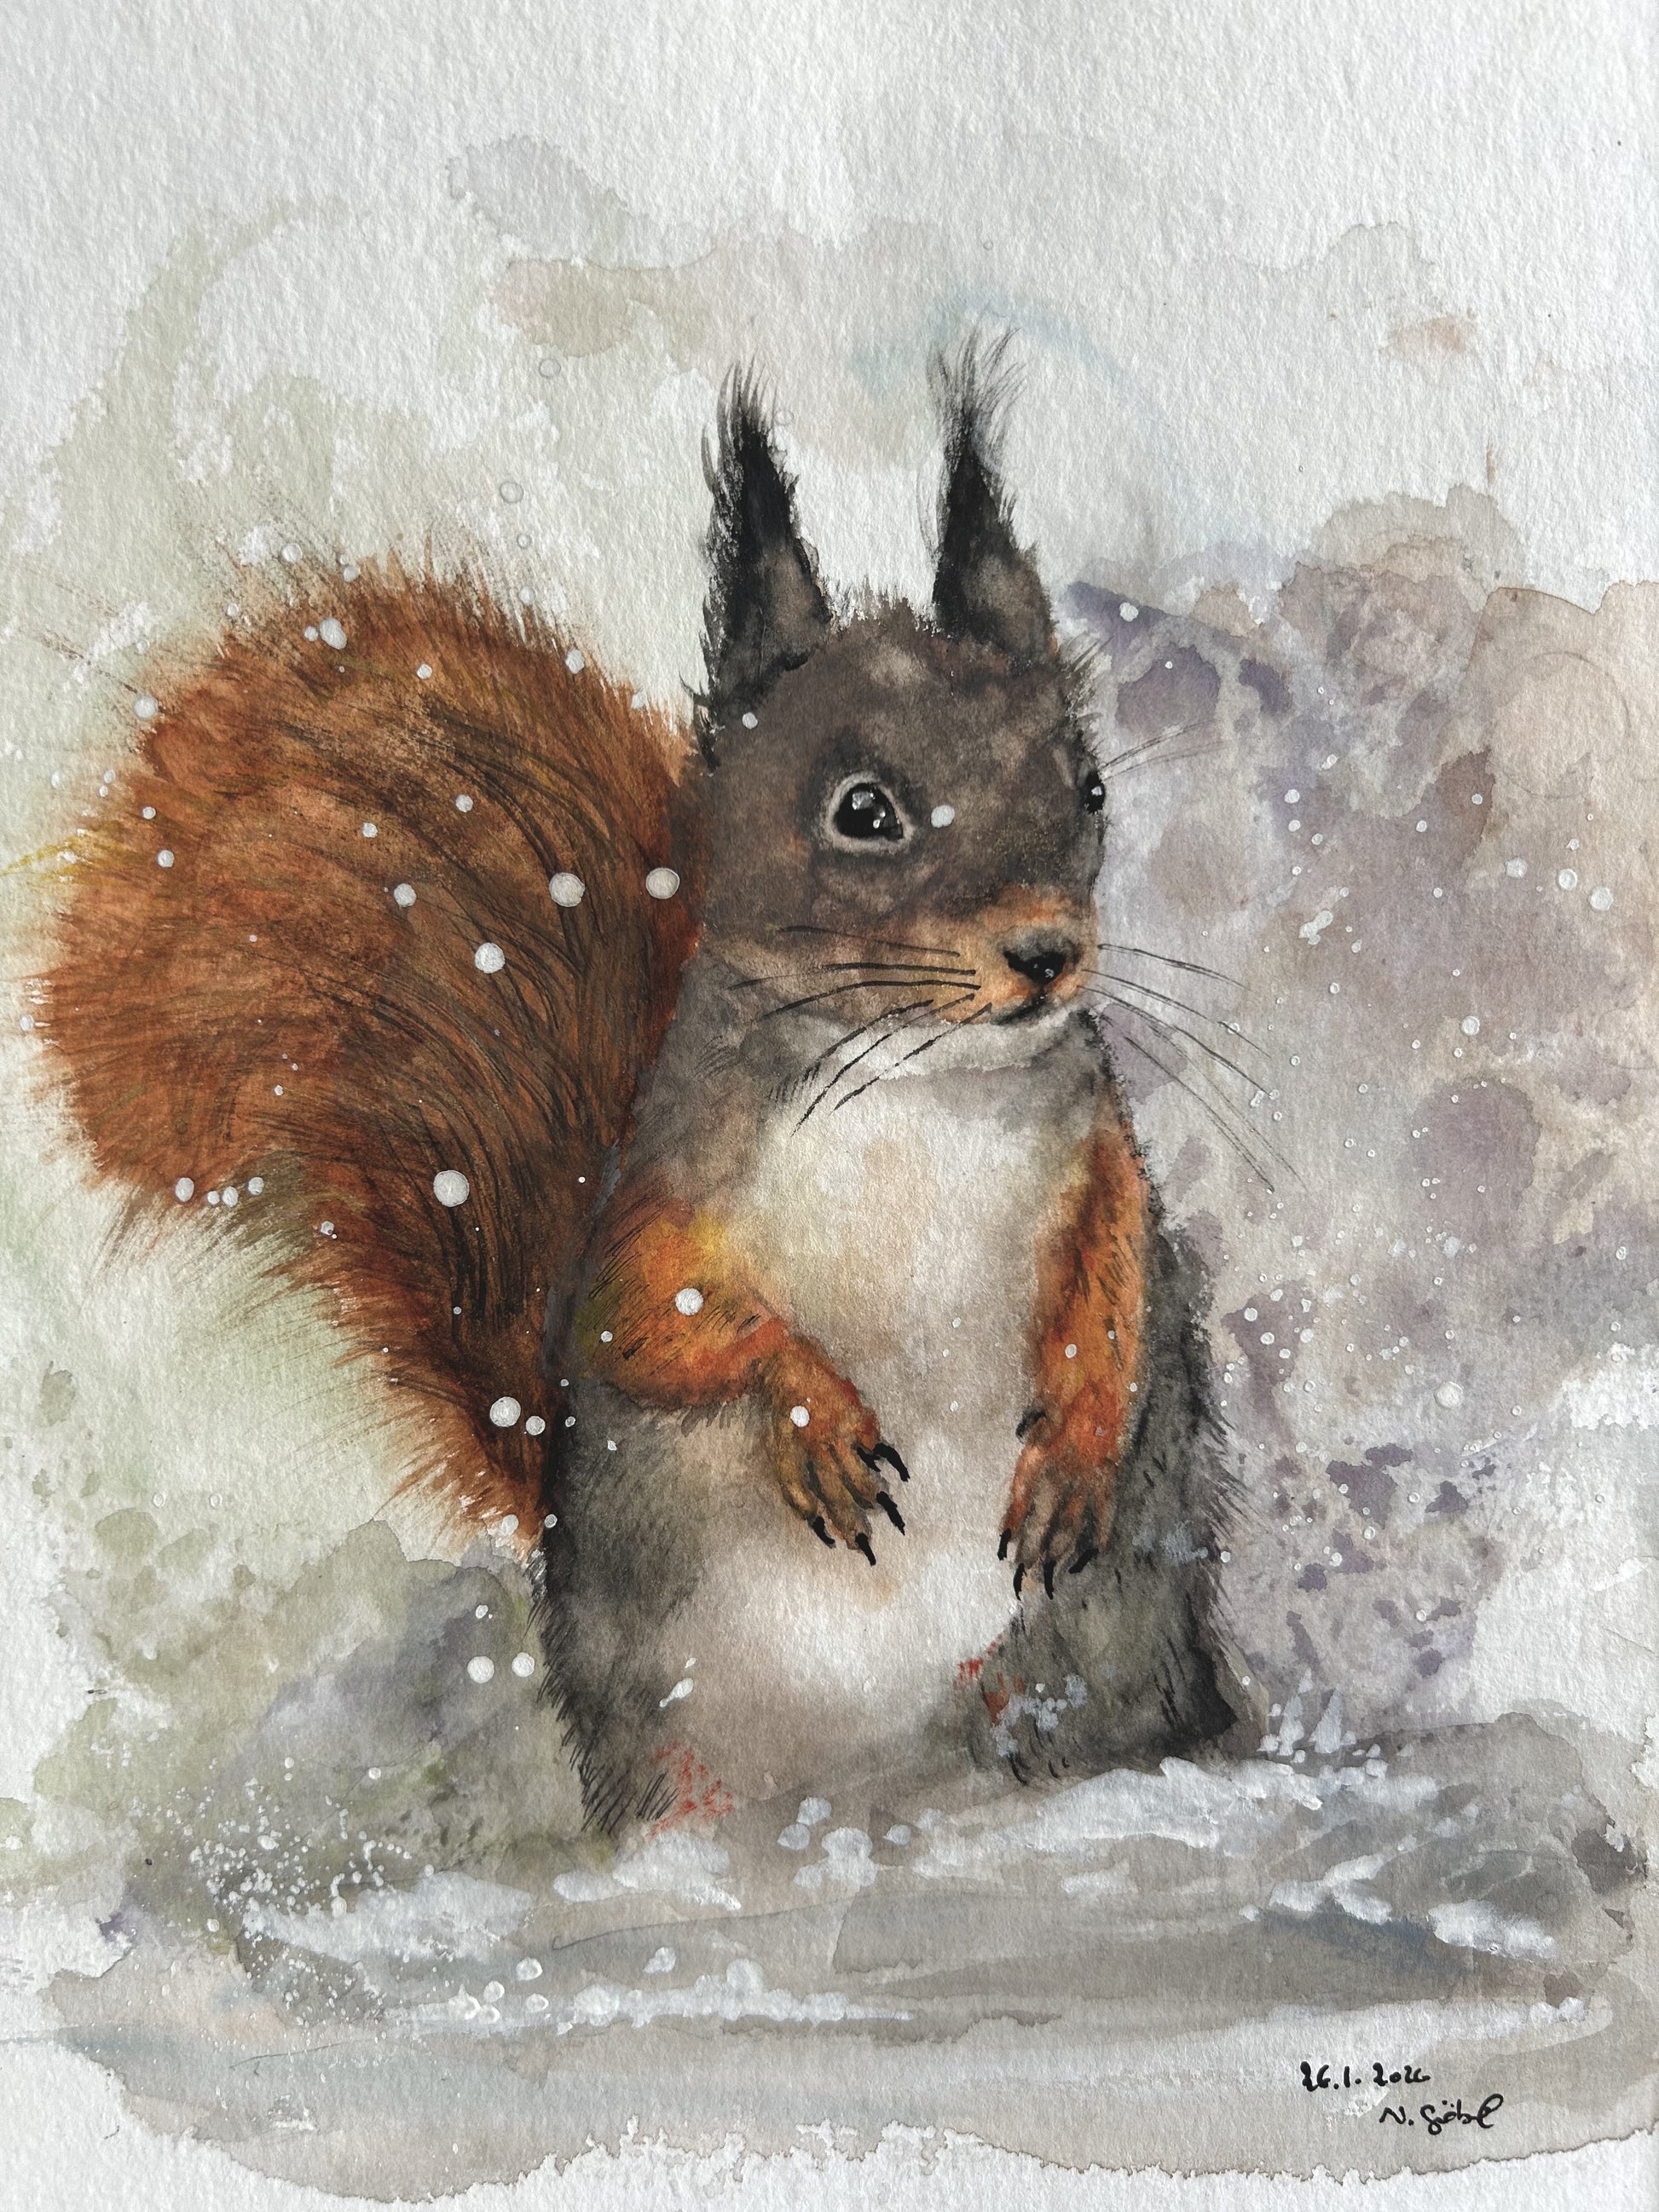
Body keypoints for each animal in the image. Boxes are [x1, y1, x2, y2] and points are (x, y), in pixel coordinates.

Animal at [45, 347, 1238, 1833]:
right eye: (862, 810)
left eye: (1085, 786)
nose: (1047, 953)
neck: (918, 1079)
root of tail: (876, 1785)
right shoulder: (660, 1186)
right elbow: (643, 1315)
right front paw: (812, 1409)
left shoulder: (1096, 1152)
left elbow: (1118, 1274)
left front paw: (1077, 1442)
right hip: (675, 1713)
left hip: (1089, 1647)